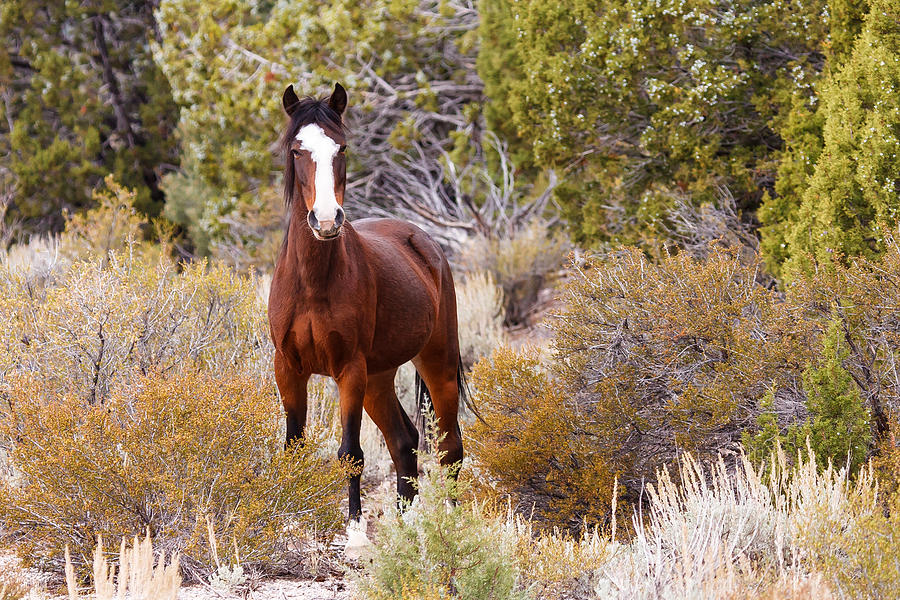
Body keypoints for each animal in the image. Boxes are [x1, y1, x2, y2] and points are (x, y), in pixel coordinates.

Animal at [268, 84, 464, 520]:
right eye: (296, 150)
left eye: (341, 147)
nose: (326, 220)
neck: (313, 281)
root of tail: (423, 242)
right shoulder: (288, 368)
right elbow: (293, 449)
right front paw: (286, 522)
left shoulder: (349, 370)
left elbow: (350, 454)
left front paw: (355, 528)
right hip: (379, 377)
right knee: (404, 442)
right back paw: (405, 526)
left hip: (436, 363)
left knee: (450, 449)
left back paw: (452, 521)